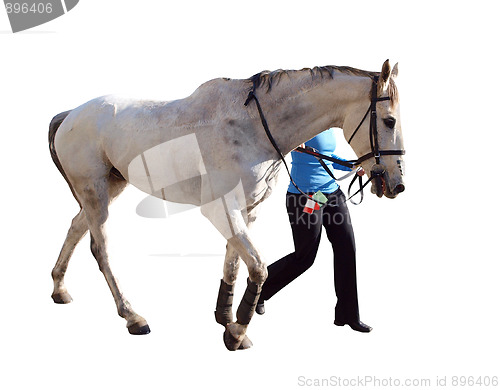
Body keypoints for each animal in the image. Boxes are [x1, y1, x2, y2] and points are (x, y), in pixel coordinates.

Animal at [48, 58, 404, 350]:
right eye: (389, 121)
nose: (396, 183)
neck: (252, 125)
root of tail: (70, 115)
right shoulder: (220, 208)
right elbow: (258, 267)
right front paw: (237, 334)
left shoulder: (247, 209)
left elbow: (234, 264)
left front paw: (226, 319)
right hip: (95, 191)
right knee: (101, 248)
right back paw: (133, 317)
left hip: (110, 186)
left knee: (77, 227)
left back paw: (59, 289)